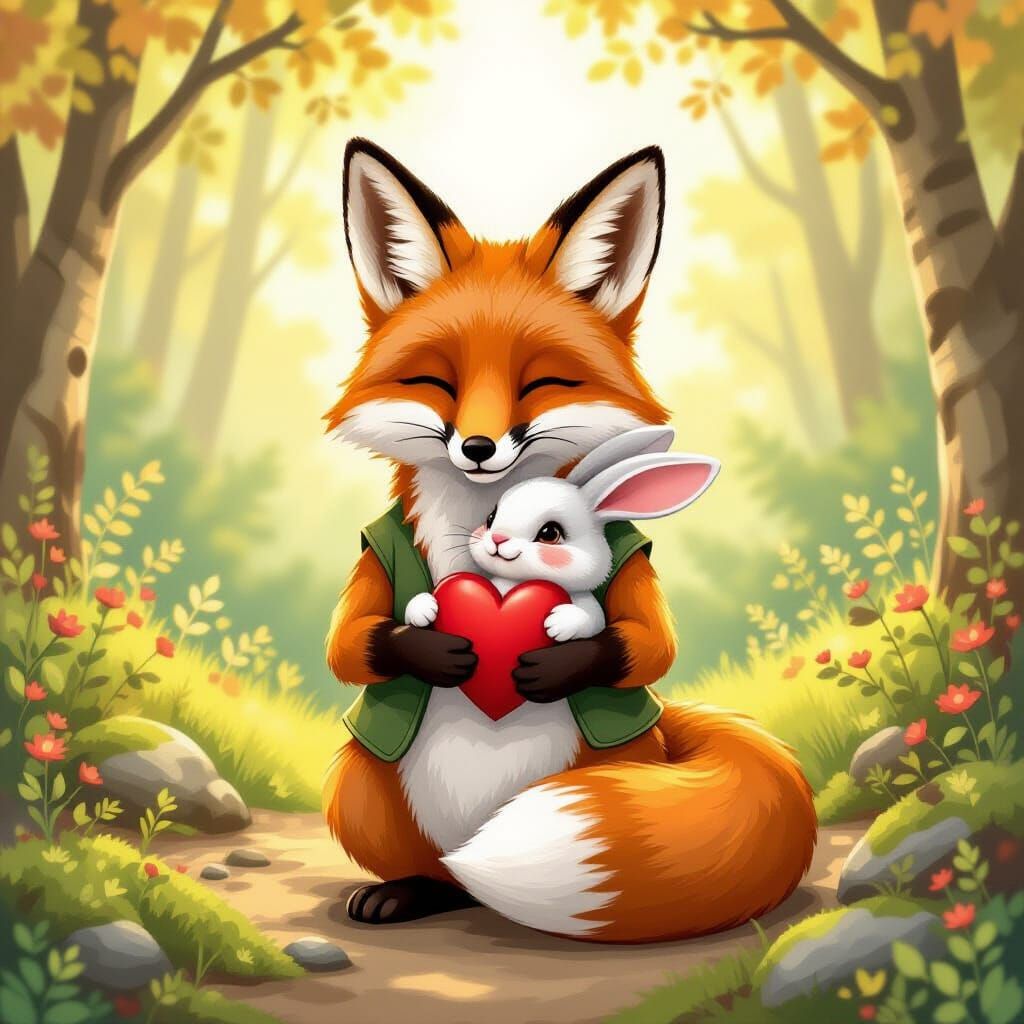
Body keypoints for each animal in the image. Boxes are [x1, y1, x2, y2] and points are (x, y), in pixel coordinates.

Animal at [404, 426, 721, 641]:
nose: (497, 539)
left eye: (550, 533)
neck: (511, 584)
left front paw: (558, 624)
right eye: (491, 517)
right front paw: (425, 607)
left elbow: (592, 620)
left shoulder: (588, 605)